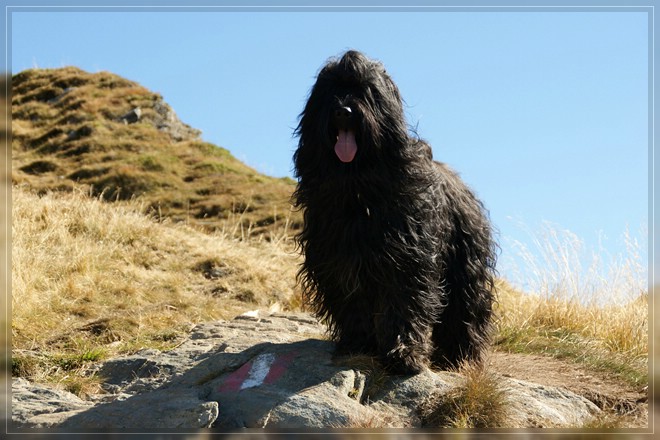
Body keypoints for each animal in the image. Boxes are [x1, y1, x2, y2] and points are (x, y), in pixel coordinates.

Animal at [292, 51, 496, 374]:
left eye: (365, 90)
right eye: (332, 89)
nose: (344, 111)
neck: (358, 190)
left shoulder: (407, 259)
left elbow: (403, 305)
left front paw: (404, 354)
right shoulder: (339, 261)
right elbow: (353, 306)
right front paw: (358, 344)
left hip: (465, 264)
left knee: (465, 310)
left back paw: (458, 357)